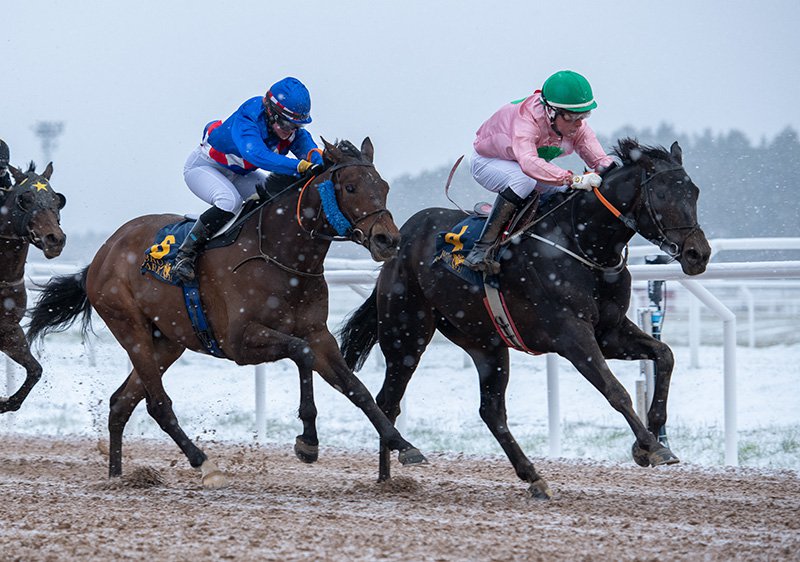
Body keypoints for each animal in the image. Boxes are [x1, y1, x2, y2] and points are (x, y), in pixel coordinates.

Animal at [0, 162, 66, 412]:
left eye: (57, 200)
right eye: (25, 199)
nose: (55, 240)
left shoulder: (8, 330)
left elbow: (35, 370)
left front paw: (6, 402)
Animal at [26, 137, 424, 486]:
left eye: (384, 186)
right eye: (352, 187)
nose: (388, 240)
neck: (279, 254)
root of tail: (102, 254)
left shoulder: (318, 333)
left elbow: (355, 388)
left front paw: (402, 444)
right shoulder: (241, 342)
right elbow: (301, 353)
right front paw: (308, 441)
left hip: (167, 340)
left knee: (121, 402)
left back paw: (117, 476)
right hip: (130, 327)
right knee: (157, 403)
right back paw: (204, 464)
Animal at [338, 138, 712, 496]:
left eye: (694, 192)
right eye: (662, 194)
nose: (699, 253)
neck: (582, 243)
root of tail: (399, 239)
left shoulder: (609, 331)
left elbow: (665, 355)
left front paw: (655, 435)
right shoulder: (572, 335)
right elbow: (615, 390)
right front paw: (650, 445)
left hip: (484, 341)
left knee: (491, 411)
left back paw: (533, 476)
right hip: (406, 333)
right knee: (388, 401)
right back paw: (390, 475)